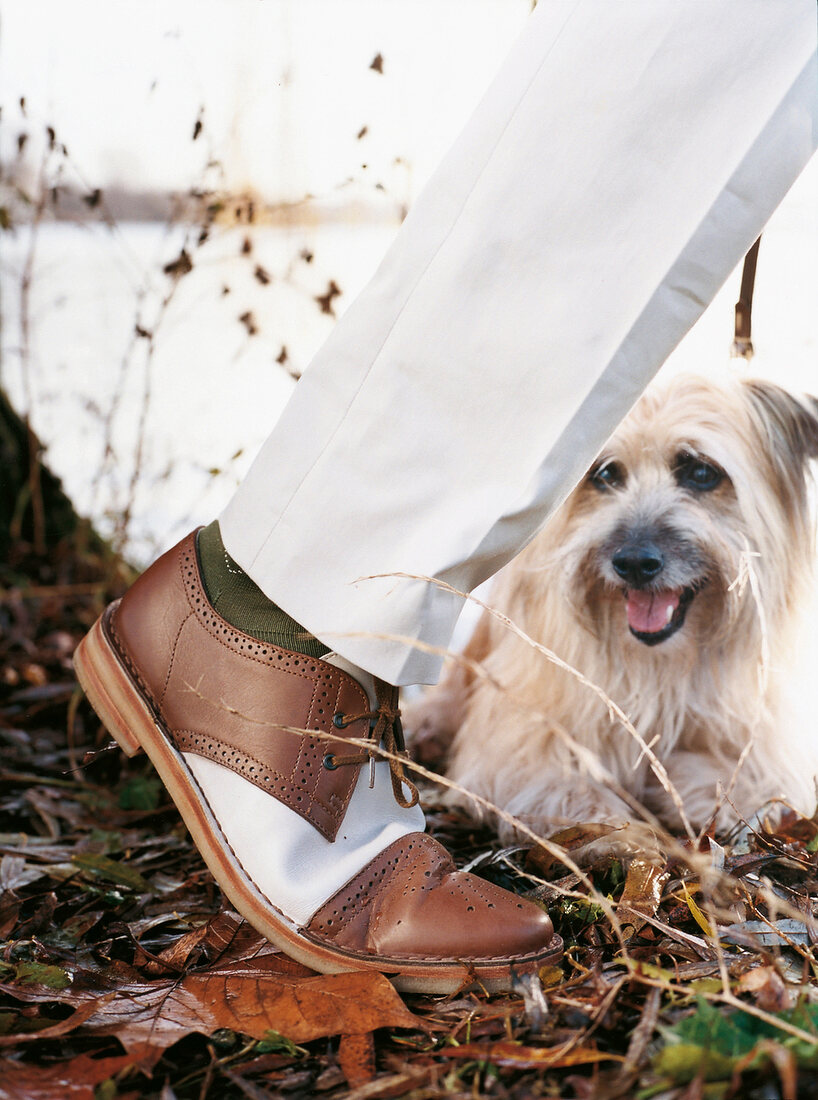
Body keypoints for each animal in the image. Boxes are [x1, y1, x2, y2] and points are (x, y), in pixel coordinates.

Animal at [411, 374, 818, 836]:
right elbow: (558, 782)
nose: (635, 563)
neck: (658, 663)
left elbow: (754, 782)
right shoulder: (521, 735)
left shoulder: (770, 740)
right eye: (605, 473)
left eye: (701, 472)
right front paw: (614, 820)